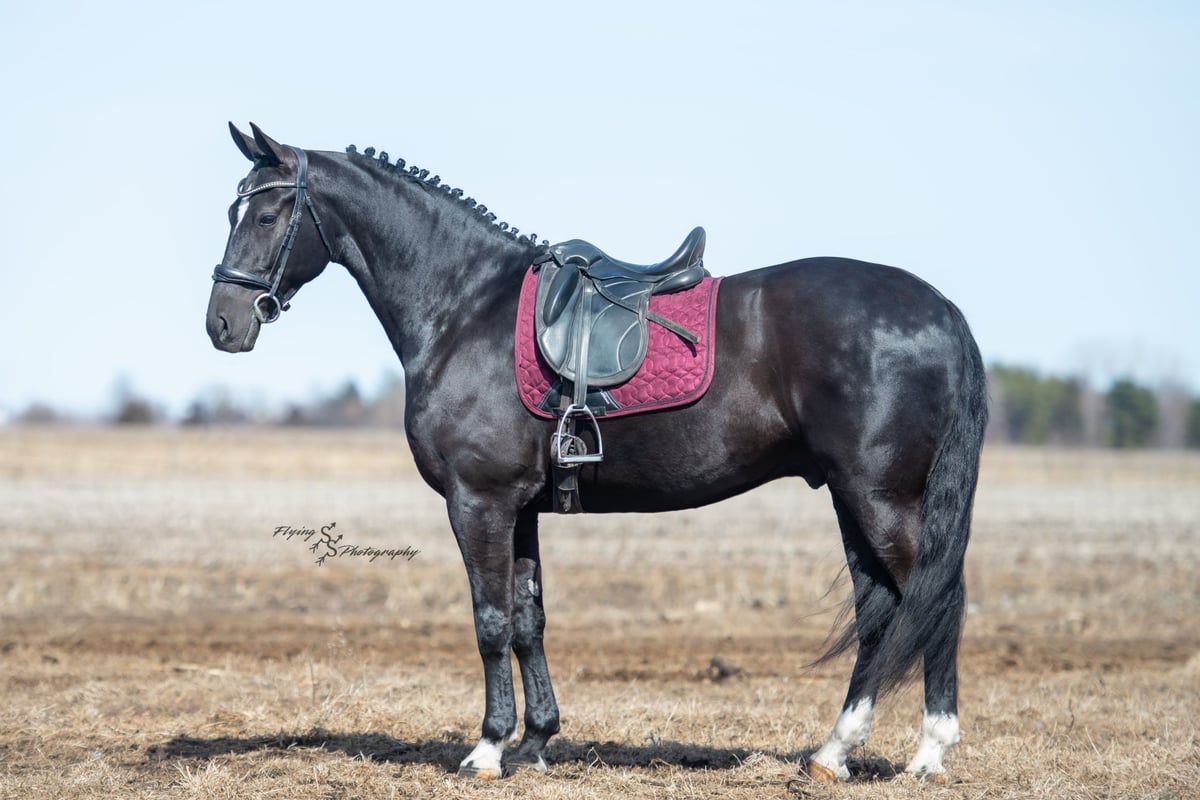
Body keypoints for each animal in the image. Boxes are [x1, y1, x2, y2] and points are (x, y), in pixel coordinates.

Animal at [206, 123, 987, 783]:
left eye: (267, 216)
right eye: (231, 212)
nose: (222, 324)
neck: (465, 309)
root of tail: (942, 310)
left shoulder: (479, 502)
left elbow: (490, 621)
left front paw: (487, 750)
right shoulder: (520, 509)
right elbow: (528, 620)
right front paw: (535, 742)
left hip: (881, 497)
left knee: (935, 599)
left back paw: (929, 753)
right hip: (855, 498)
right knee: (881, 611)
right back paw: (833, 752)